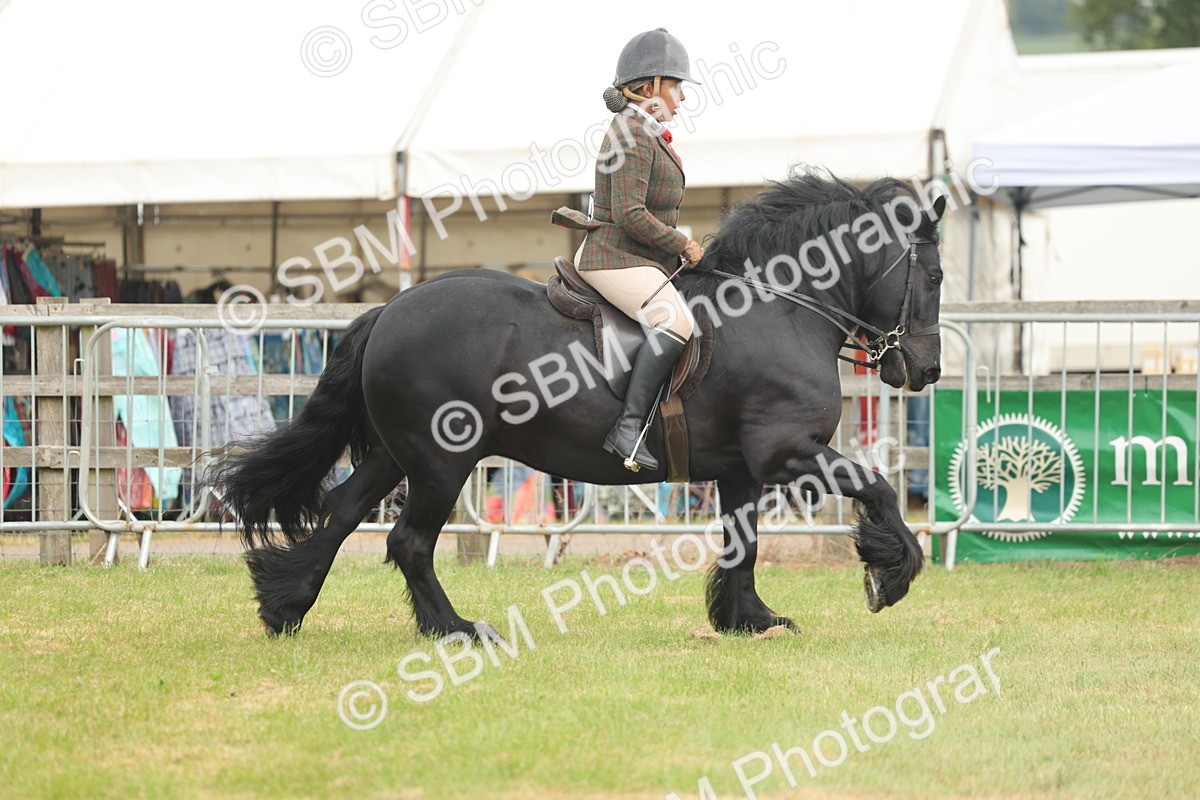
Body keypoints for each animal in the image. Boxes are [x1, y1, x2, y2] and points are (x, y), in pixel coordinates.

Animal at [209, 170, 947, 639]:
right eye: (935, 275)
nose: (927, 370)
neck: (779, 308)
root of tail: (390, 307)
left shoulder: (743, 469)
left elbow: (744, 544)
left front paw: (750, 621)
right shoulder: (788, 452)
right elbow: (878, 488)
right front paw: (891, 576)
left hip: (400, 455)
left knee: (341, 513)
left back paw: (284, 605)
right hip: (441, 462)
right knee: (408, 541)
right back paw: (454, 630)